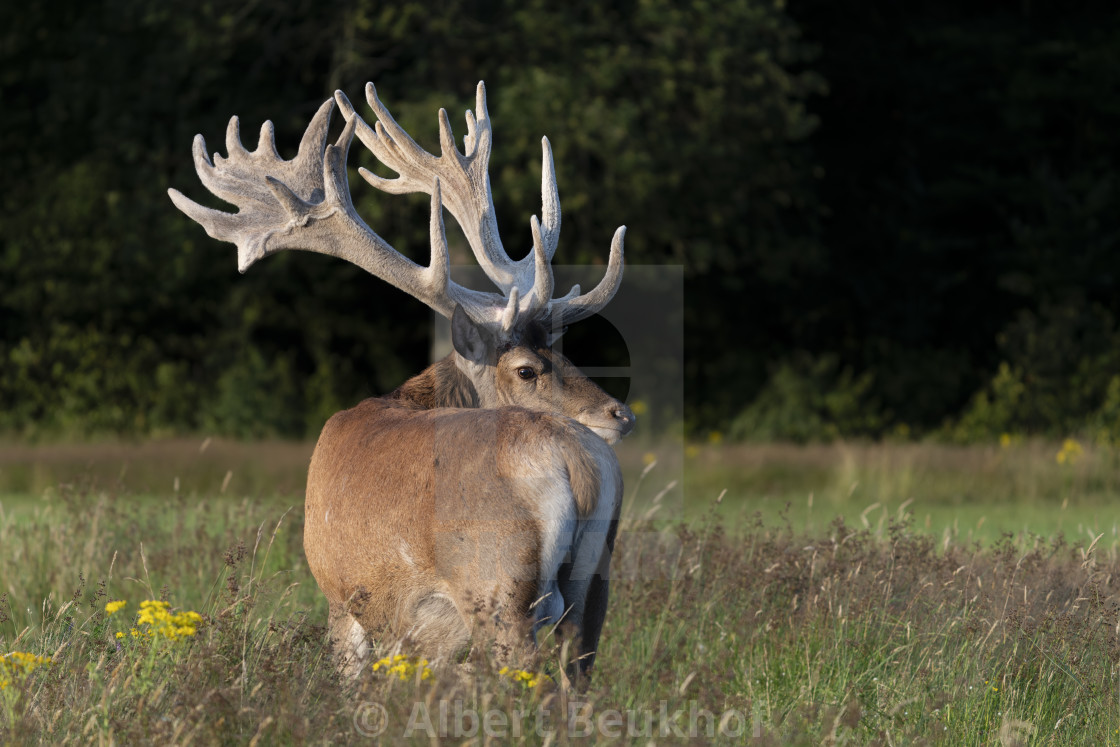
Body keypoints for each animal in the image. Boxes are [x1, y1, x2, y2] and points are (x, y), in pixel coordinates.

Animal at [169, 80, 636, 676]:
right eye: (529, 367)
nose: (619, 415)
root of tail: (579, 466)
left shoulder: (343, 596)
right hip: (594, 588)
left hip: (497, 584)